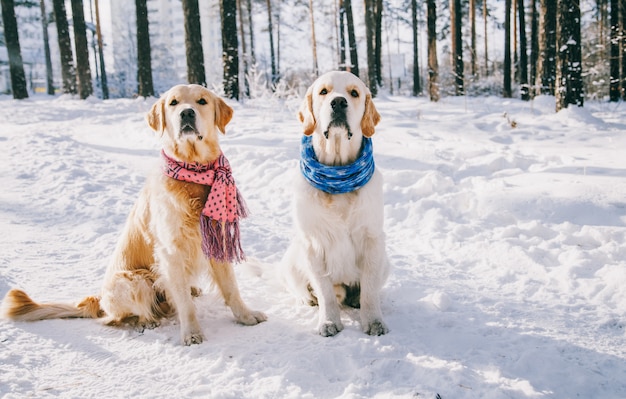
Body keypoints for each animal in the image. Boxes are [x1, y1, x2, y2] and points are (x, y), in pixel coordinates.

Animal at [0, 83, 264, 344]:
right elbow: (184, 303)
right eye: (174, 103)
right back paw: (147, 321)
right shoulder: (170, 251)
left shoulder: (217, 239)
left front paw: (246, 316)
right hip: (136, 280)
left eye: (202, 101)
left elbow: (231, 288)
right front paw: (191, 332)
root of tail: (99, 300)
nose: (187, 113)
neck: (194, 170)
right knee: (122, 316)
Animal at [280, 71, 388, 338]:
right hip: (290, 260)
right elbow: (325, 291)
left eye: (354, 93)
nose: (338, 103)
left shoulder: (372, 239)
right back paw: (309, 299)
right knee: (304, 289)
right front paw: (328, 322)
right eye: (323, 92)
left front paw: (373, 321)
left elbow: (370, 290)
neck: (338, 173)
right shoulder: (312, 244)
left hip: (386, 261)